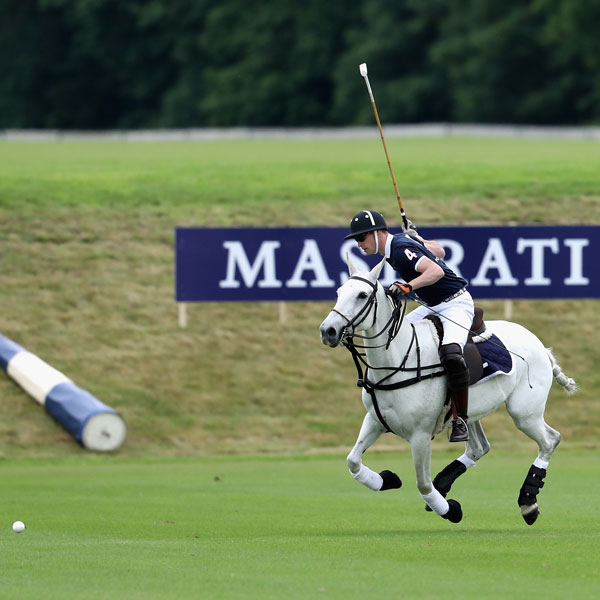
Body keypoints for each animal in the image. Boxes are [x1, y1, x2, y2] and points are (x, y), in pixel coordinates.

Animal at [318, 258, 576, 524]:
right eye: (338, 292)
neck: (398, 360)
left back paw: (528, 502)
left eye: (362, 295)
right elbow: (352, 461)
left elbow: (422, 484)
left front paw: (451, 510)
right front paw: (388, 479)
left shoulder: (420, 435)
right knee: (479, 447)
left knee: (550, 440)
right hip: (474, 411)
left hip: (524, 412)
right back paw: (443, 483)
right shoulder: (375, 419)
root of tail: (540, 344)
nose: (328, 331)